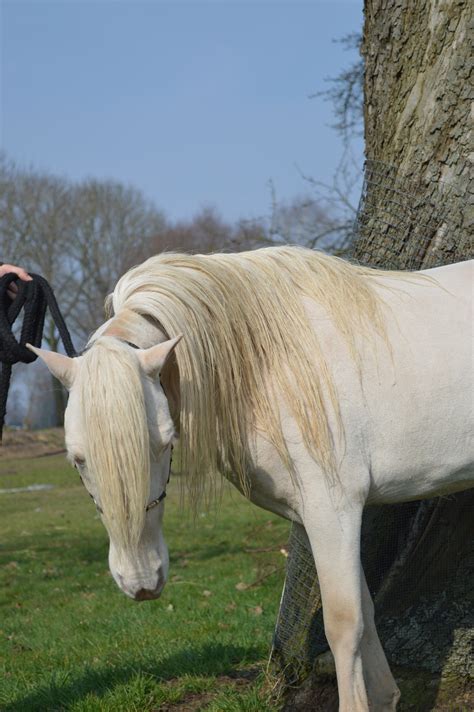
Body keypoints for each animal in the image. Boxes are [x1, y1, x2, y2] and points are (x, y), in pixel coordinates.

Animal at [28, 246, 470, 712]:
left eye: (165, 442)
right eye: (77, 458)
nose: (141, 581)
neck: (271, 363)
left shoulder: (334, 511)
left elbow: (344, 625)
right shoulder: (326, 519)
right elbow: (365, 616)